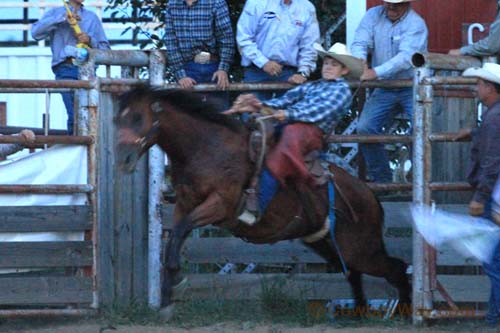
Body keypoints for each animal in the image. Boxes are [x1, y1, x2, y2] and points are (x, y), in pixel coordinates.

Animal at [116, 85, 410, 316]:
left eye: (138, 117)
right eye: (117, 121)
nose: (123, 160)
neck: (207, 148)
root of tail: (369, 195)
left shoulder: (220, 205)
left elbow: (179, 232)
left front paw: (176, 281)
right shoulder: (184, 205)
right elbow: (174, 237)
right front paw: (167, 297)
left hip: (361, 248)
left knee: (396, 268)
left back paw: (404, 314)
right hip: (329, 244)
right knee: (354, 273)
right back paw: (360, 313)